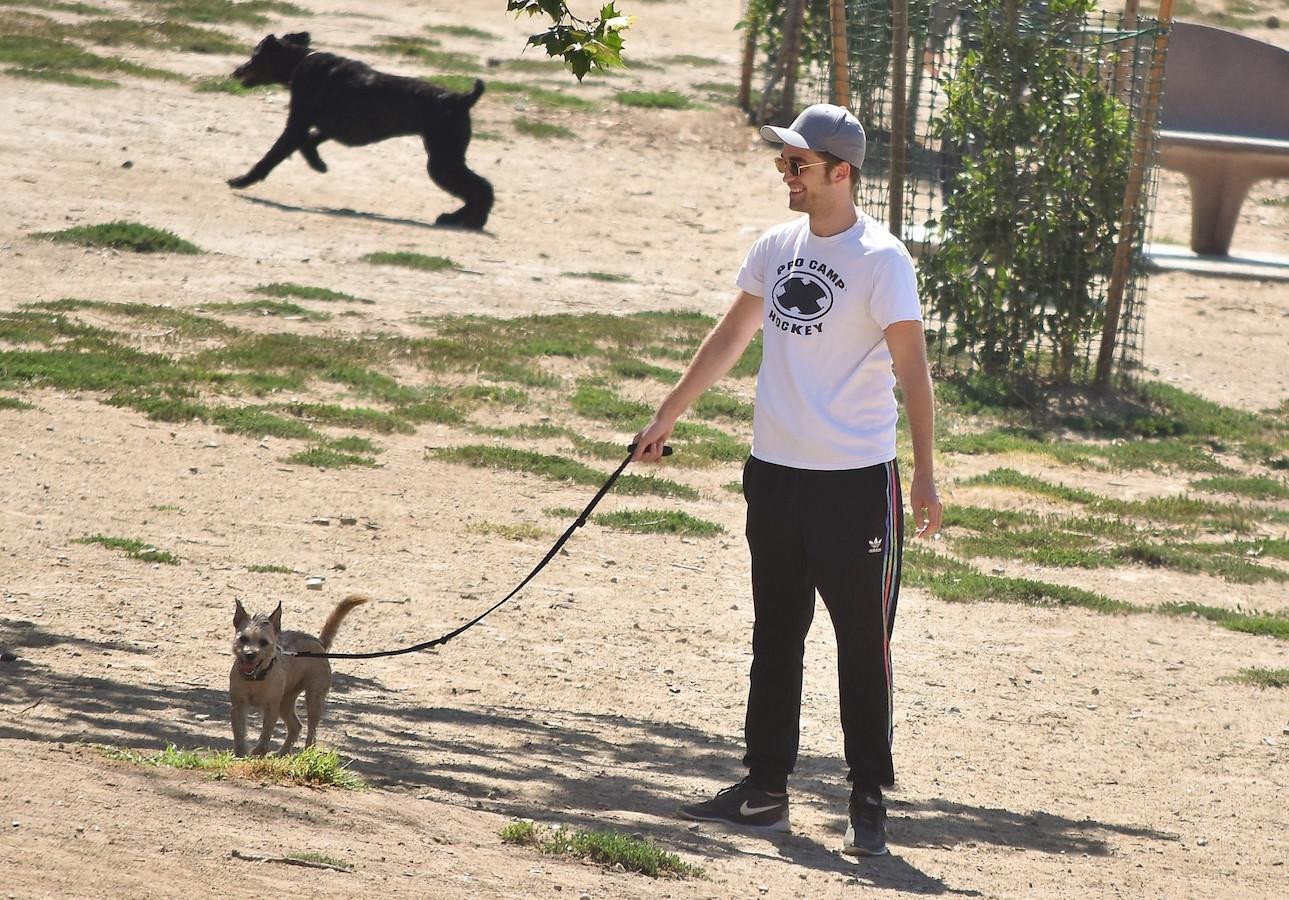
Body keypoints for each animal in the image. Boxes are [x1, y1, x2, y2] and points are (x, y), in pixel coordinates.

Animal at [226, 31, 492, 229]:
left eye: (255, 56)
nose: (236, 72)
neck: (300, 60)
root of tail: (461, 99)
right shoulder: (326, 127)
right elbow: (310, 142)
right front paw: (318, 163)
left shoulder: (297, 125)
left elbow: (271, 157)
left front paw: (241, 181)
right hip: (447, 160)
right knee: (480, 188)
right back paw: (460, 219)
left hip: (441, 163)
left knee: (480, 188)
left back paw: (467, 220)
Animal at [226, 593, 366, 753]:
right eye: (243, 639)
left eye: (264, 642)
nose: (250, 654)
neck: (256, 679)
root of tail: (318, 643)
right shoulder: (238, 706)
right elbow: (239, 733)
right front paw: (241, 753)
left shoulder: (271, 708)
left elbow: (265, 733)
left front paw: (259, 752)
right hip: (285, 702)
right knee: (296, 726)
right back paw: (283, 753)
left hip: (313, 699)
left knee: (311, 731)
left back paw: (307, 751)